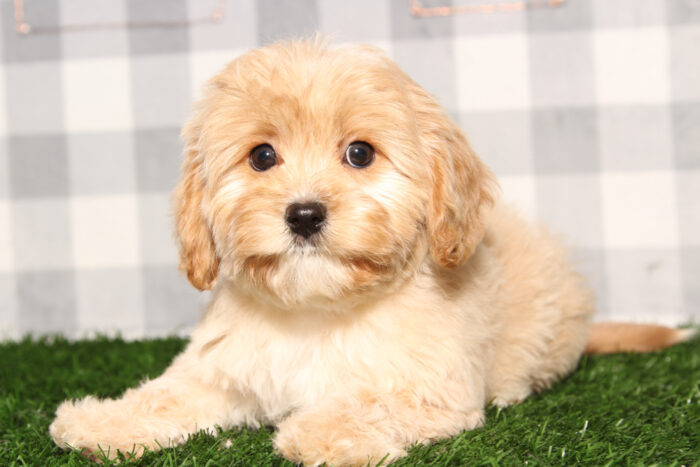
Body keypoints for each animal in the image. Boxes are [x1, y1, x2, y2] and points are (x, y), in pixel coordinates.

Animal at [49, 40, 696, 467]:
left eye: (360, 153)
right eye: (261, 156)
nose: (304, 215)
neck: (318, 310)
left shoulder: (431, 390)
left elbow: (370, 403)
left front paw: (317, 433)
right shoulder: (222, 369)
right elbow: (169, 394)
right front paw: (102, 420)